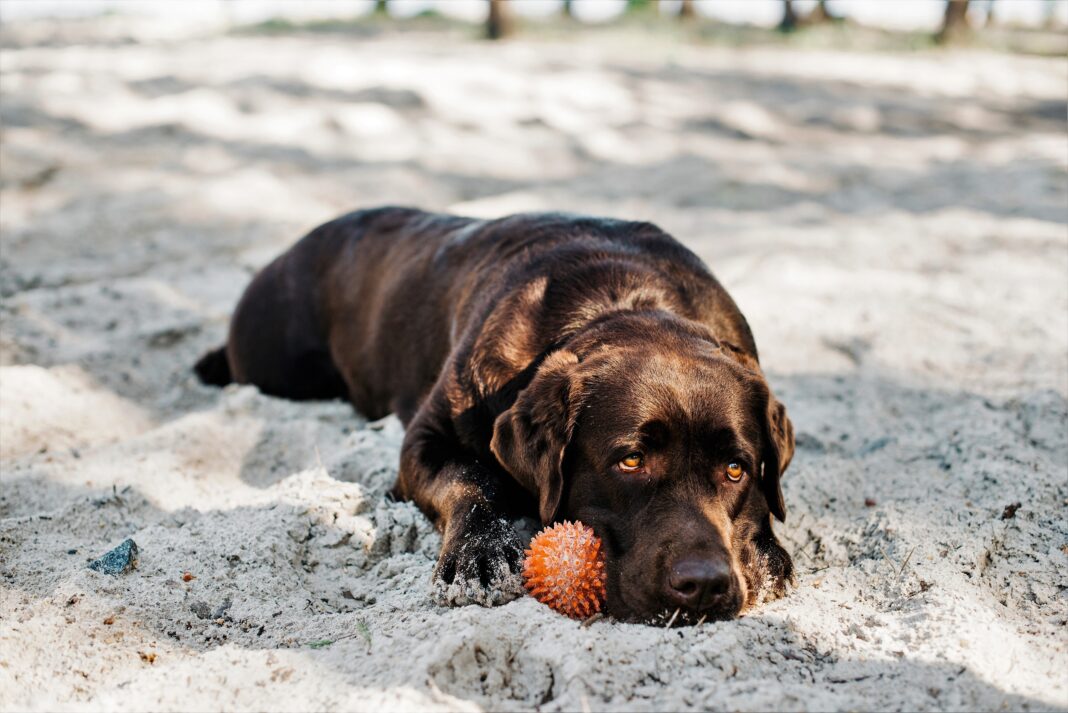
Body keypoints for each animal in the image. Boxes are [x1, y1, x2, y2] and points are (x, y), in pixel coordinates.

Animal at [198, 207, 794, 623]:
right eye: (630, 461)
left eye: (736, 470)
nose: (705, 584)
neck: (622, 300)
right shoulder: (425, 442)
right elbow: (472, 477)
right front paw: (480, 554)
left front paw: (765, 553)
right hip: (272, 359)